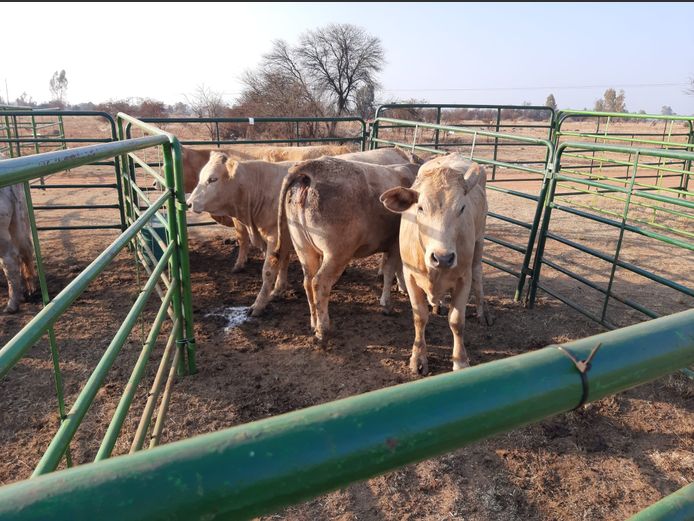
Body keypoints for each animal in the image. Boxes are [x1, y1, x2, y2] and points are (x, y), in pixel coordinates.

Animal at [276, 156, 418, 344]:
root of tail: (313, 165)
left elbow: (400, 269)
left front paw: (402, 287)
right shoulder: (395, 244)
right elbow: (390, 271)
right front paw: (386, 303)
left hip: (304, 248)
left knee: (308, 281)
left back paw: (314, 323)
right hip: (337, 253)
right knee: (319, 283)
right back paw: (323, 329)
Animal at [380, 151, 494, 374]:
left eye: (462, 208)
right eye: (420, 207)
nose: (443, 257)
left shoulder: (463, 278)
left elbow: (457, 321)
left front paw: (460, 360)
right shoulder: (410, 276)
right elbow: (419, 316)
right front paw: (418, 358)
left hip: (480, 240)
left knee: (478, 274)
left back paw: (482, 312)